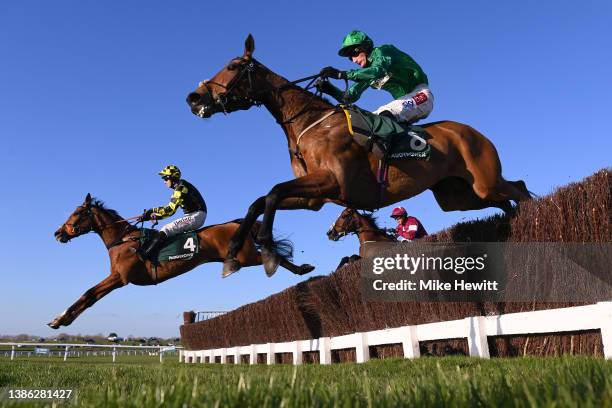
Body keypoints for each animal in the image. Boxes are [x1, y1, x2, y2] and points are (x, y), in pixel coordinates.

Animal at [48, 193, 314, 330]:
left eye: (77, 213)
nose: (58, 233)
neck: (122, 240)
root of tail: (237, 223)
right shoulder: (118, 278)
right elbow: (90, 296)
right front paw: (60, 319)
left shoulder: (120, 277)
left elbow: (89, 294)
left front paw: (60, 319)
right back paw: (302, 268)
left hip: (245, 256)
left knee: (275, 257)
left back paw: (300, 268)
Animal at [186, 34, 532, 278]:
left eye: (232, 67)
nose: (194, 97)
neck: (311, 122)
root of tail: (473, 132)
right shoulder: (313, 198)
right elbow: (260, 200)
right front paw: (233, 253)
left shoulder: (332, 182)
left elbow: (272, 193)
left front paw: (269, 253)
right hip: (459, 196)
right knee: (504, 199)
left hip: (483, 180)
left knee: (519, 189)